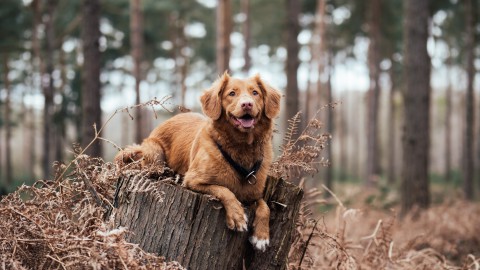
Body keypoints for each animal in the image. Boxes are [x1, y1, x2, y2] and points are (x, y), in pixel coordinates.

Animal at [115, 71, 282, 251]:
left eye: (255, 93)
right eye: (232, 93)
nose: (247, 104)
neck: (241, 147)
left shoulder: (253, 194)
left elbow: (265, 206)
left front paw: (261, 236)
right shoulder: (193, 180)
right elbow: (224, 190)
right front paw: (237, 216)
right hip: (154, 153)